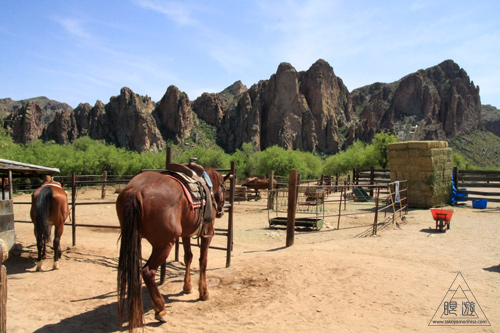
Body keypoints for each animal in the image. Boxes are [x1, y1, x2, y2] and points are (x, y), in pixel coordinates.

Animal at [116, 167, 228, 330]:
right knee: (148, 271)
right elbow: (203, 261)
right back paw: (161, 311)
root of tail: (136, 189)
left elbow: (188, 257)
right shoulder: (207, 233)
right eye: (224, 188)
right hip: (164, 244)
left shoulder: (186, 233)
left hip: (134, 238)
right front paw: (204, 293)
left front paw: (187, 287)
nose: (221, 211)